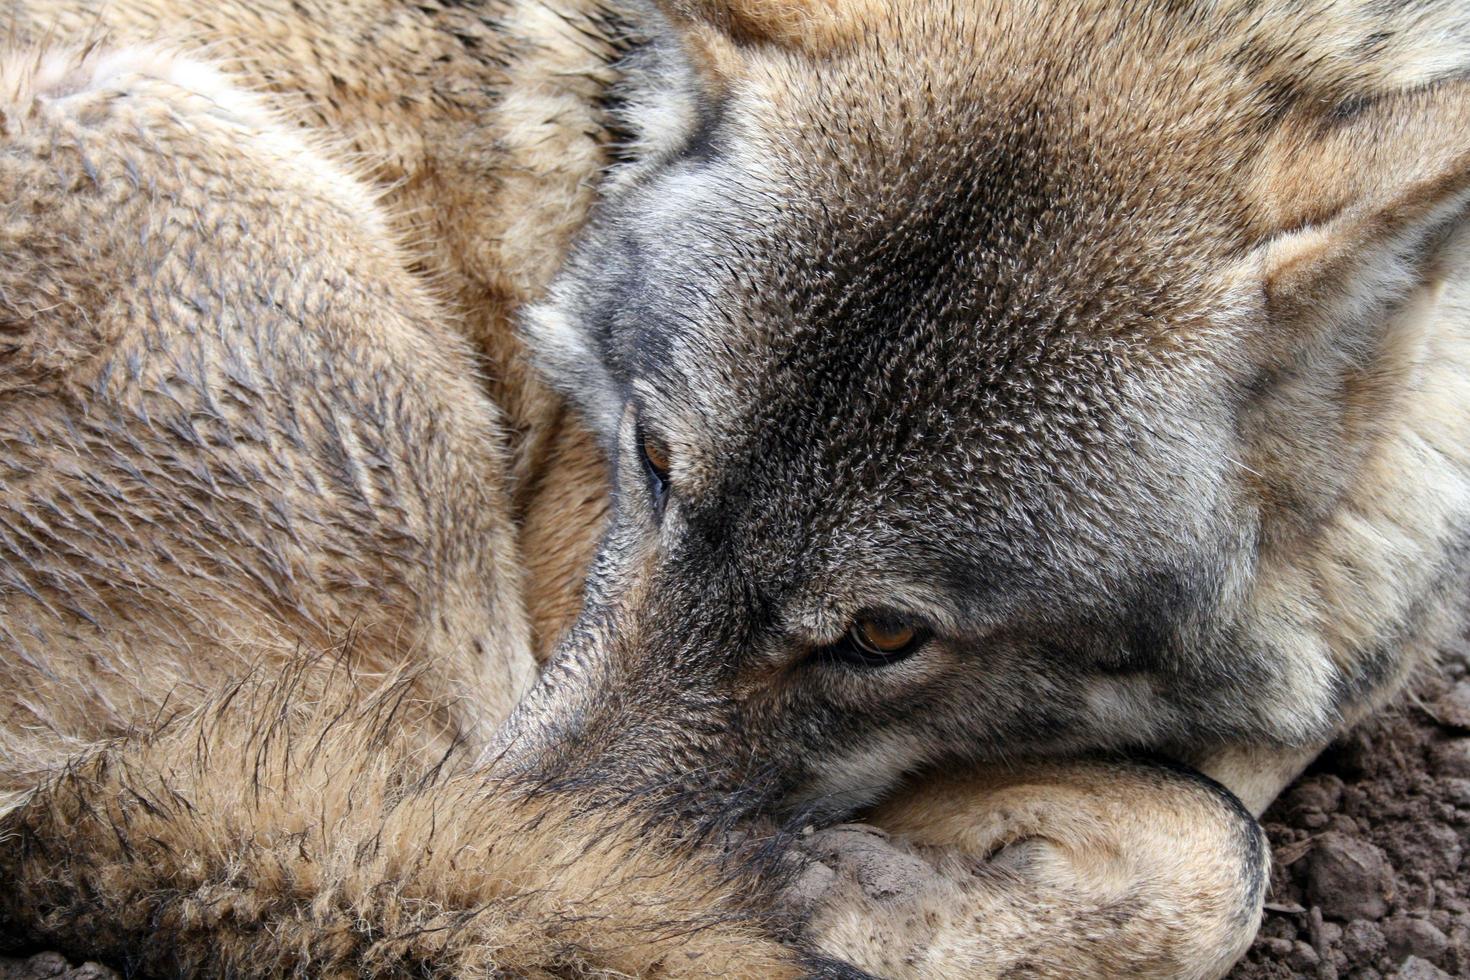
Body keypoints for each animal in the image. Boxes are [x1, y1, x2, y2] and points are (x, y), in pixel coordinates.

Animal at [0, 0, 1464, 975]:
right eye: (651, 460)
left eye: (883, 633)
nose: (545, 824)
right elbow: (1220, 851)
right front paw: (871, 897)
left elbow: (1228, 832)